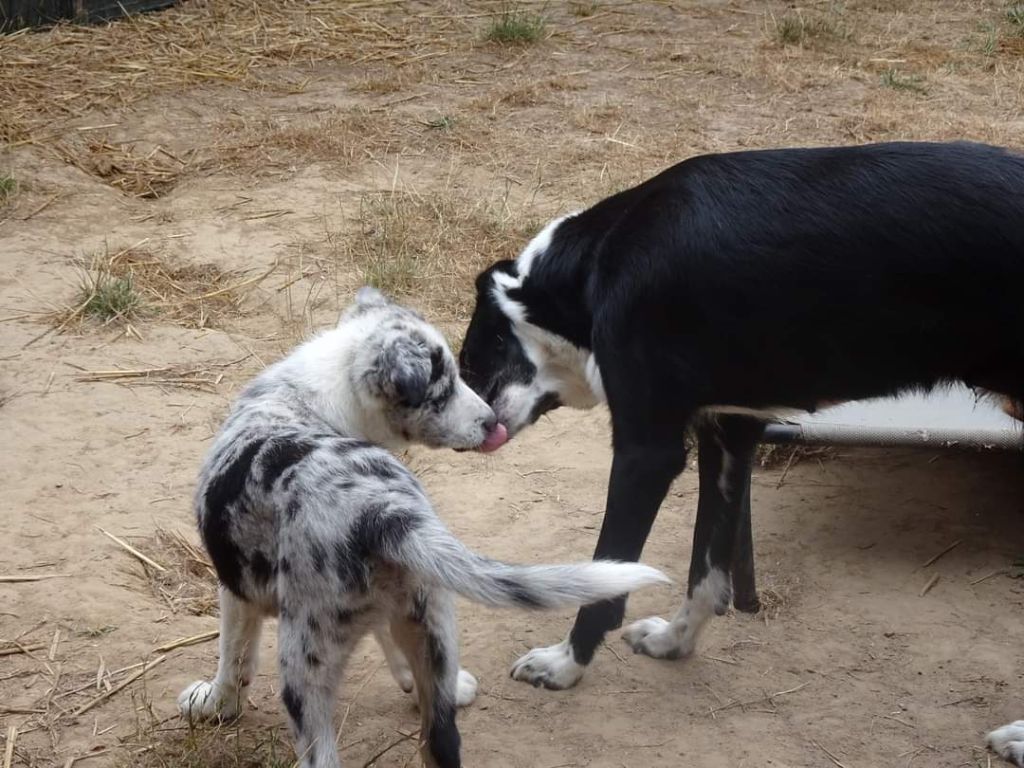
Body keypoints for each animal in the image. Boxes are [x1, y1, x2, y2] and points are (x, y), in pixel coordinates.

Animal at [179, 288, 667, 768]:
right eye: (443, 389)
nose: (492, 422)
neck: (317, 393)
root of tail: (383, 512)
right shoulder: (401, 611)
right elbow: (391, 647)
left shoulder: (234, 590)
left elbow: (234, 658)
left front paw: (213, 705)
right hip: (435, 621)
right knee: (440, 744)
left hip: (304, 664)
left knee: (322, 754)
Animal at [460, 143, 1024, 765]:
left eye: (471, 361)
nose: (475, 429)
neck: (595, 269)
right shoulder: (728, 431)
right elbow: (706, 572)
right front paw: (674, 642)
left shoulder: (646, 453)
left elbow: (607, 579)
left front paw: (564, 665)